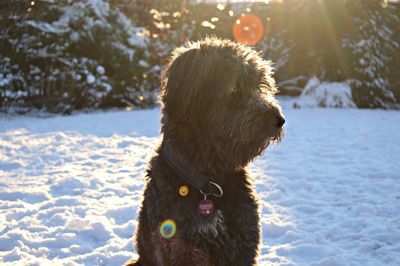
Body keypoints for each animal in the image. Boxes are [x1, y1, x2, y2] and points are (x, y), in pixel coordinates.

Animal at [126, 37, 284, 266]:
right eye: (234, 89)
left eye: (260, 85)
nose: (279, 120)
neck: (209, 183)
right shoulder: (181, 249)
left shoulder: (244, 242)